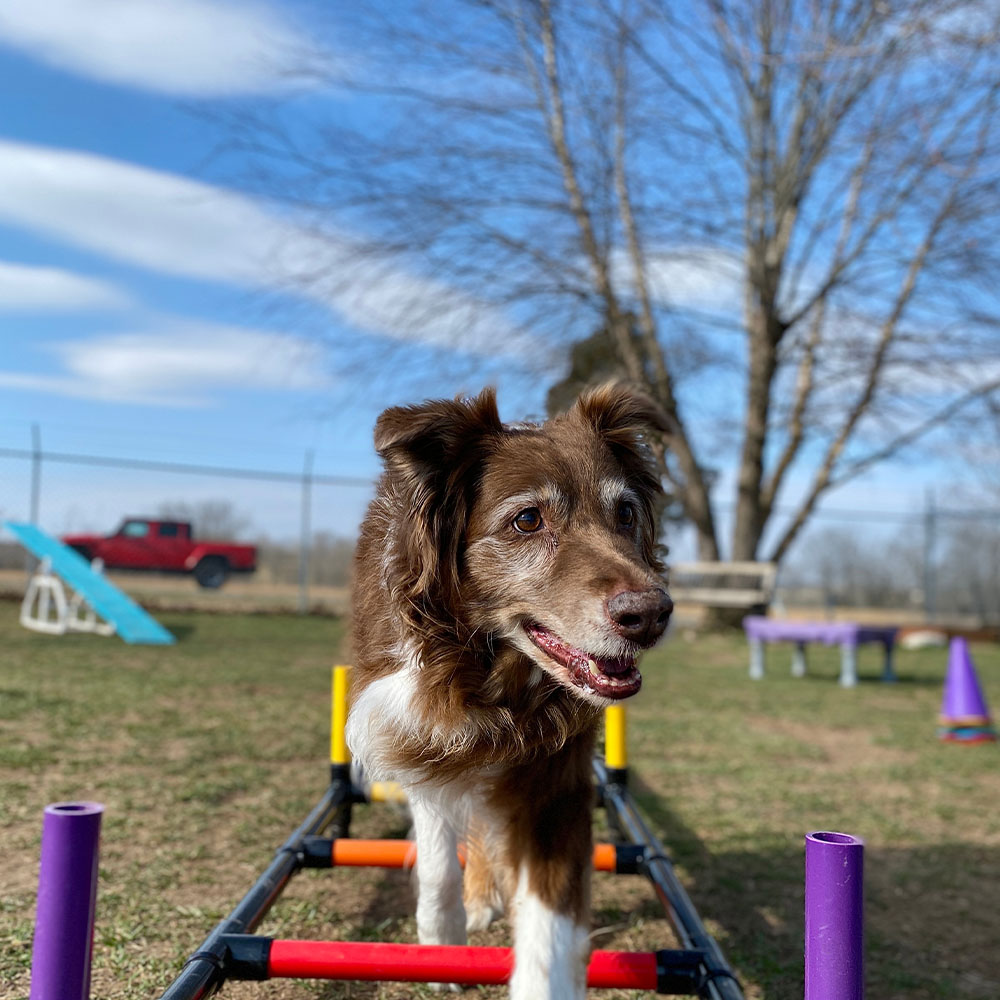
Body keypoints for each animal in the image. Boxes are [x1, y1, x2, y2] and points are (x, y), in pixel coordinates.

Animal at [346, 384, 672, 1000]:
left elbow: (550, 927)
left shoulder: (556, 776)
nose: (651, 615)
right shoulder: (421, 733)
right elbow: (437, 857)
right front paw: (443, 942)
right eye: (527, 520)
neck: (492, 670)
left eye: (624, 512)